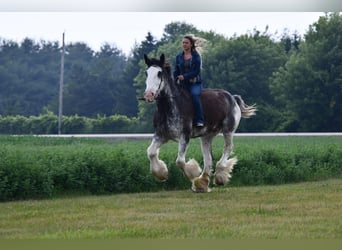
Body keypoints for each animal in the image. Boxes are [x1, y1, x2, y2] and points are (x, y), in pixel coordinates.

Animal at [142, 53, 256, 192]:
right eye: (147, 73)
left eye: (159, 73)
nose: (149, 95)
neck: (170, 107)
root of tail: (232, 98)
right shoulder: (161, 136)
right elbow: (151, 152)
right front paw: (162, 173)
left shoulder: (184, 136)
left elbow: (180, 161)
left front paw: (194, 173)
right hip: (206, 136)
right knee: (208, 159)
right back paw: (202, 182)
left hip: (228, 131)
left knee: (228, 148)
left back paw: (219, 176)